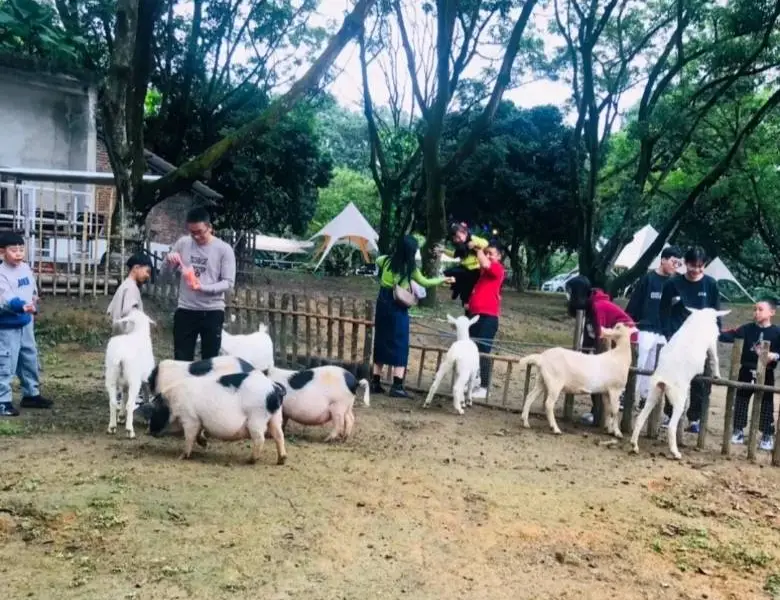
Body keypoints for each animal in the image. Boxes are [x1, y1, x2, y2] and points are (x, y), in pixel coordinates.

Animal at [105, 308, 157, 438]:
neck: (138, 331)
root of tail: (120, 355)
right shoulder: (145, 377)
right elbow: (146, 394)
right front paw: (146, 418)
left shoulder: (124, 382)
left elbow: (124, 395)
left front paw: (121, 416)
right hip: (133, 379)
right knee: (130, 404)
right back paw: (130, 430)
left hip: (111, 377)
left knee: (113, 402)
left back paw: (112, 426)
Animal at [632, 308, 728, 462]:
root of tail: (664, 379)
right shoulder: (712, 343)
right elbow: (715, 358)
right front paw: (717, 375)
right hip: (679, 398)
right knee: (672, 426)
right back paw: (676, 453)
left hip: (654, 392)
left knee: (640, 417)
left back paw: (634, 445)